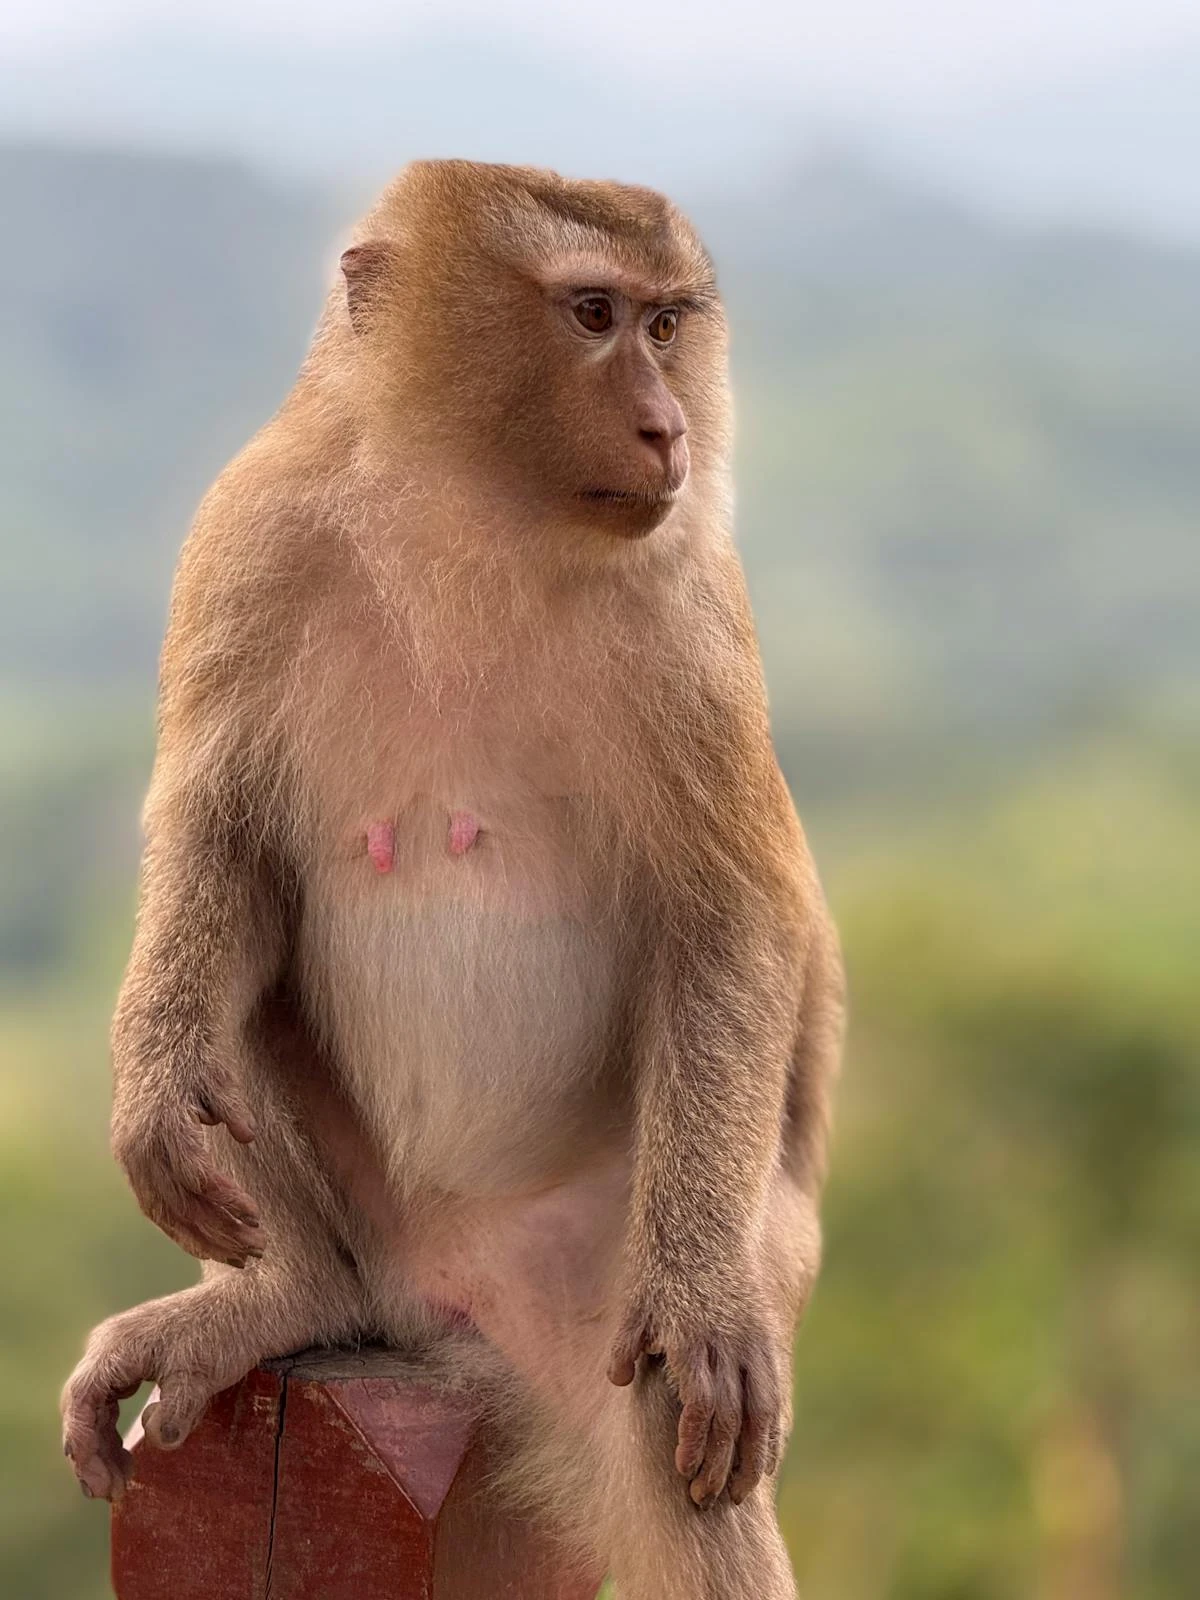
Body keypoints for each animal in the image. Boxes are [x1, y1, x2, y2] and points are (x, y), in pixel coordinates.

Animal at [61, 160, 843, 1600]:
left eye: (665, 326)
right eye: (592, 313)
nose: (666, 427)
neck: (466, 516)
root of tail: (462, 1311)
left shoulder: (686, 612)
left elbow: (730, 918)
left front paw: (706, 1304)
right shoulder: (249, 532)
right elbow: (222, 845)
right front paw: (156, 1082)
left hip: (612, 1287)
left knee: (672, 1430)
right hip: (387, 1246)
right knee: (243, 996)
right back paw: (290, 1296)